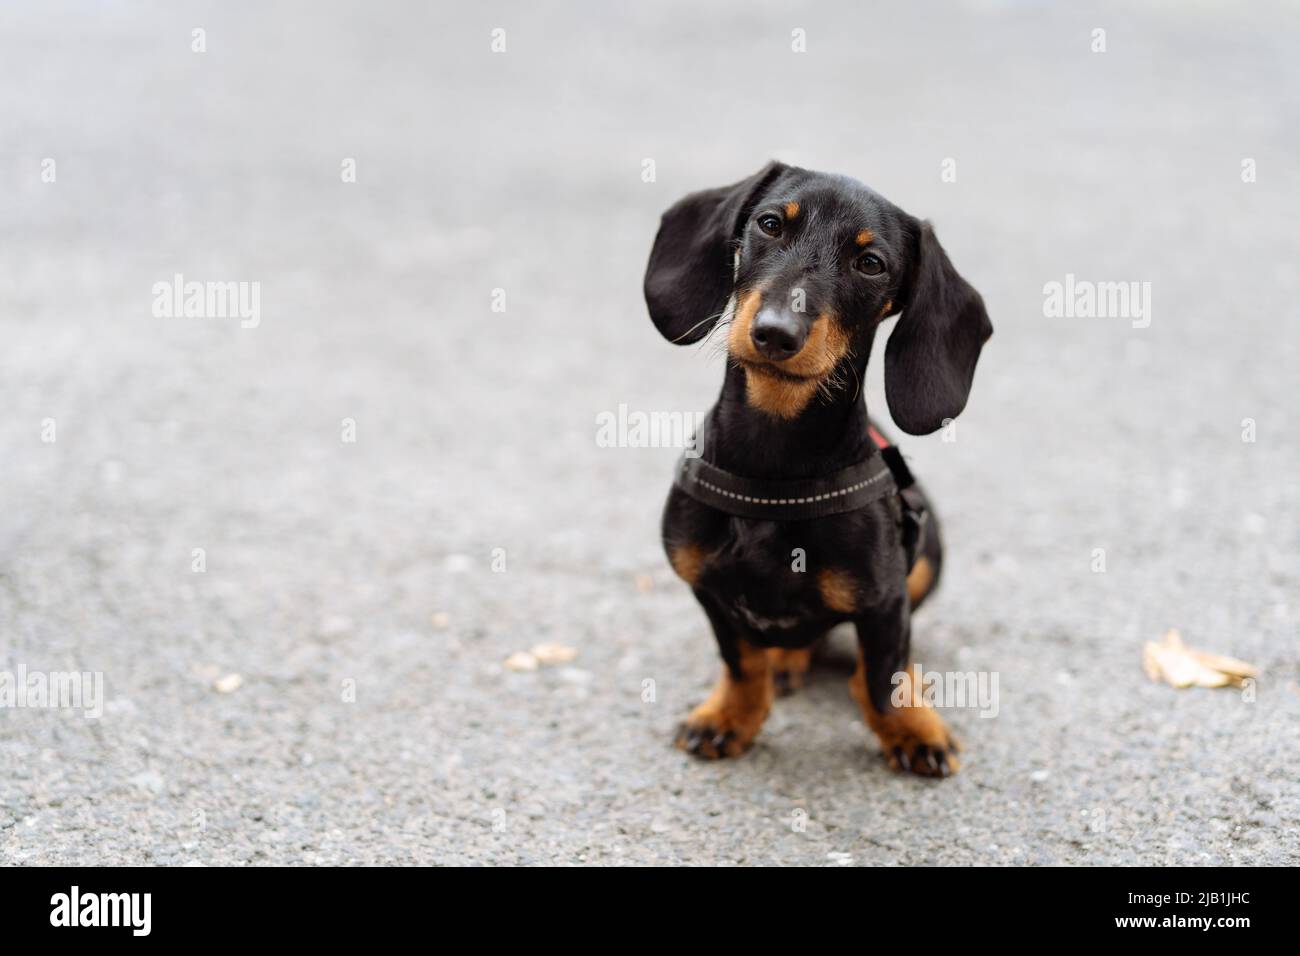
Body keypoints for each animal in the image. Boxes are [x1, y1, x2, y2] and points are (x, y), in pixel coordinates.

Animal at [644, 160, 987, 780]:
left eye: (871, 263)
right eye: (770, 224)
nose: (776, 333)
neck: (773, 468)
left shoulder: (886, 599)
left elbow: (881, 676)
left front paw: (911, 730)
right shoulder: (705, 585)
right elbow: (741, 662)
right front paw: (731, 716)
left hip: (926, 560)